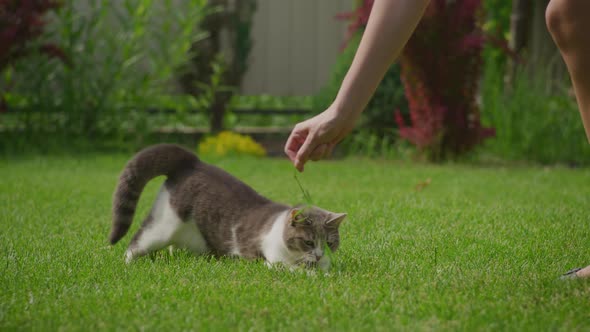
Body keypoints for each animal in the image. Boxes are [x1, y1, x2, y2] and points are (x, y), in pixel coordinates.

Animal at [110, 143, 346, 270]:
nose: (319, 254)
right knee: (138, 240)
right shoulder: (270, 260)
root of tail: (193, 162)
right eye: (308, 242)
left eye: (329, 243)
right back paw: (127, 263)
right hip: (163, 225)